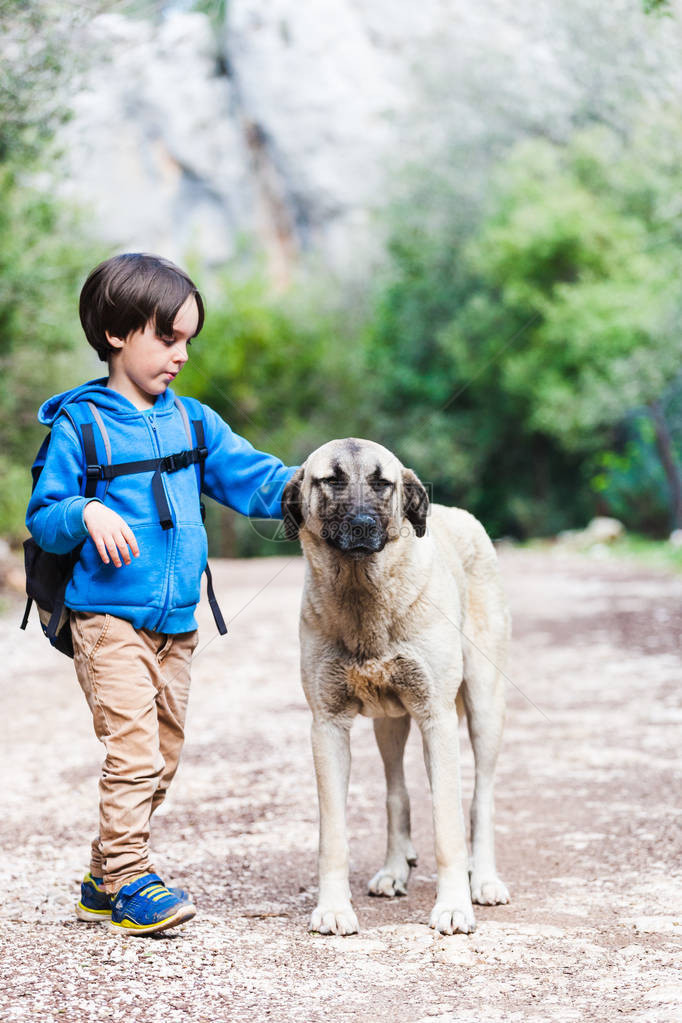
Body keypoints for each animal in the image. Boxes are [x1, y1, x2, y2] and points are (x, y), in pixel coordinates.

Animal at [282, 439, 511, 937]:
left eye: (382, 483)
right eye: (332, 480)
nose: (363, 525)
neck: (362, 594)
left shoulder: (436, 718)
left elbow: (448, 828)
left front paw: (453, 906)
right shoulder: (327, 726)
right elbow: (334, 835)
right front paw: (333, 908)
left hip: (485, 708)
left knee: (481, 800)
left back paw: (484, 879)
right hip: (389, 722)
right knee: (396, 792)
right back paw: (394, 868)